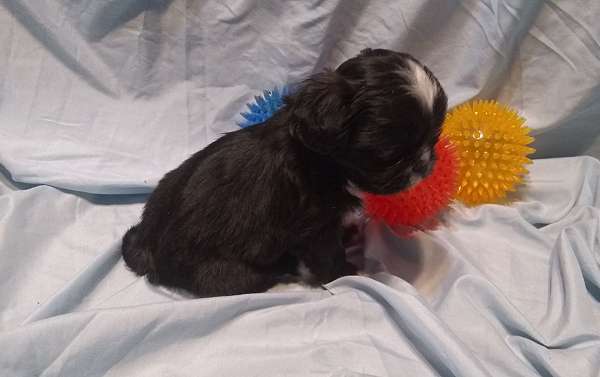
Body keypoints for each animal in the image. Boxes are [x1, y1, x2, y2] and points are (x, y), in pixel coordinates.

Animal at [122, 48, 448, 296]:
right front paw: (346, 273)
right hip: (225, 271)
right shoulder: (315, 229)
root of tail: (148, 247)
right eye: (389, 155)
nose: (424, 163)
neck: (320, 161)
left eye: (434, 138)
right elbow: (328, 256)